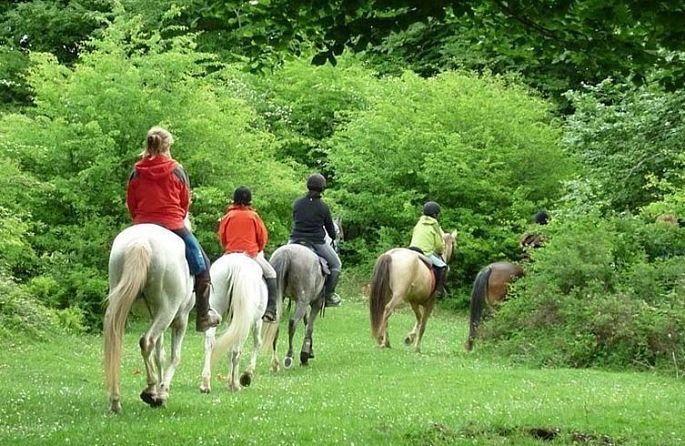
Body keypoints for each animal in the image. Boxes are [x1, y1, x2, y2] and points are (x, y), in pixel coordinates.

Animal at [103, 224, 194, 413]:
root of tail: (141, 241)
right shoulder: (181, 320)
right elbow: (175, 356)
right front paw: (162, 394)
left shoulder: (155, 316)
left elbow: (160, 355)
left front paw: (160, 394)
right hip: (168, 310)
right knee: (147, 341)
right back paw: (151, 390)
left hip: (119, 302)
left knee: (117, 341)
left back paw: (116, 401)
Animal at [200, 253, 267, 393]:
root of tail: (236, 265)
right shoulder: (257, 321)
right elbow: (257, 343)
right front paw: (247, 374)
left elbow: (229, 350)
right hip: (245, 322)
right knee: (237, 350)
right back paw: (235, 384)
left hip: (214, 312)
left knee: (209, 344)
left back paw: (205, 384)